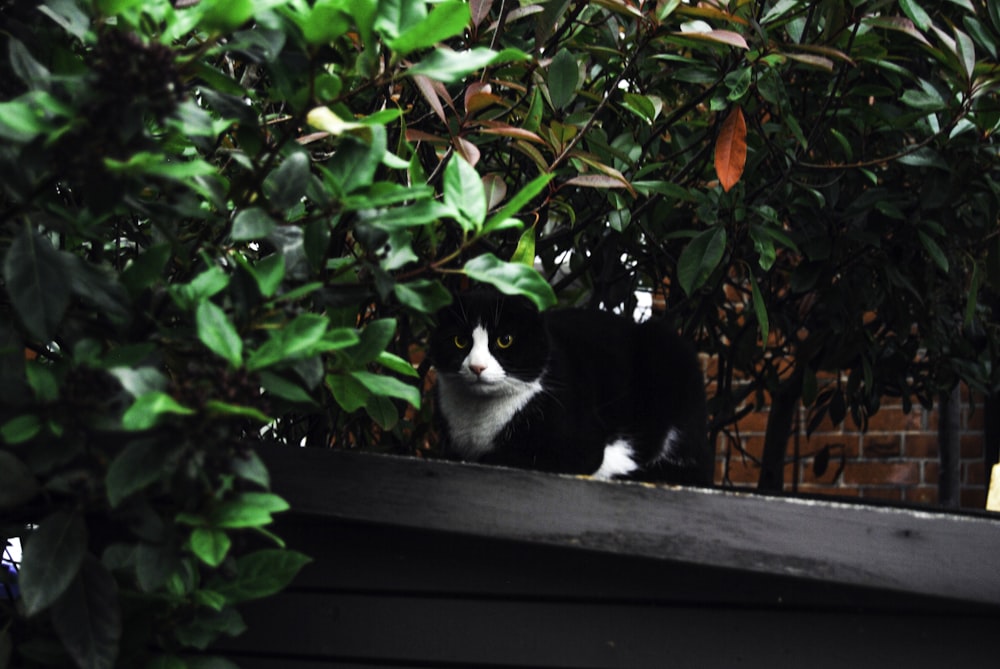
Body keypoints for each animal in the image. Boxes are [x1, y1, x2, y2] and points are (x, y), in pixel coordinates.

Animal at [430, 288, 712, 486]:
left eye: (505, 340)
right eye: (459, 341)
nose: (477, 367)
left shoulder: (581, 444)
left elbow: (512, 456)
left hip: (669, 349)